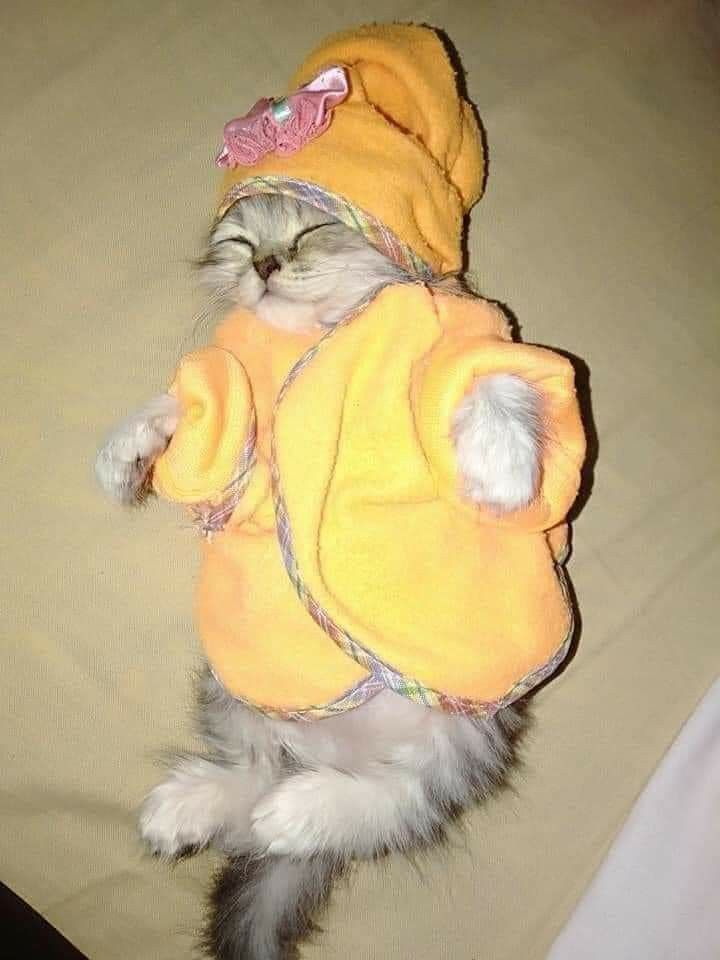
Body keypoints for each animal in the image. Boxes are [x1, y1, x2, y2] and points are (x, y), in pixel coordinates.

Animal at [95, 193, 541, 960]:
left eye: (312, 228)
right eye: (241, 242)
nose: (267, 264)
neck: (320, 331)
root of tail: (329, 754)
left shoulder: (467, 343)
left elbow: (494, 376)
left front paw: (503, 464)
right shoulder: (229, 412)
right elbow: (182, 411)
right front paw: (126, 453)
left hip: (462, 737)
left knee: (401, 801)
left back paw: (298, 814)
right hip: (237, 697)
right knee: (255, 774)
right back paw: (191, 808)